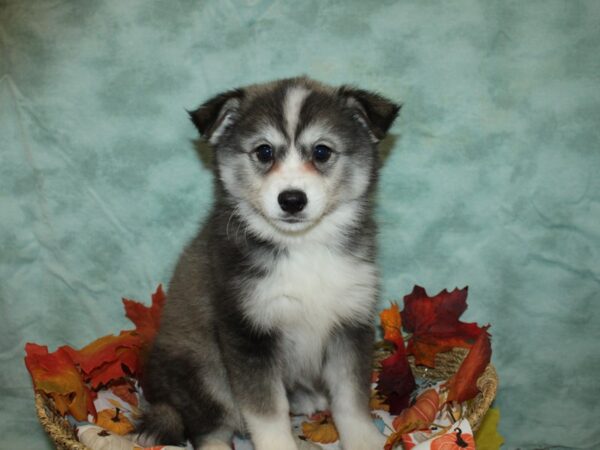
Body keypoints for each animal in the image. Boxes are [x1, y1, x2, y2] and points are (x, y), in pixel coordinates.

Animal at [139, 75, 400, 448]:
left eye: (322, 151)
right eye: (264, 151)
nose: (291, 200)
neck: (303, 248)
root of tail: (159, 395)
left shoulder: (350, 322)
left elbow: (351, 400)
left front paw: (365, 441)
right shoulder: (247, 331)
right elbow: (267, 411)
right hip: (201, 370)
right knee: (207, 428)